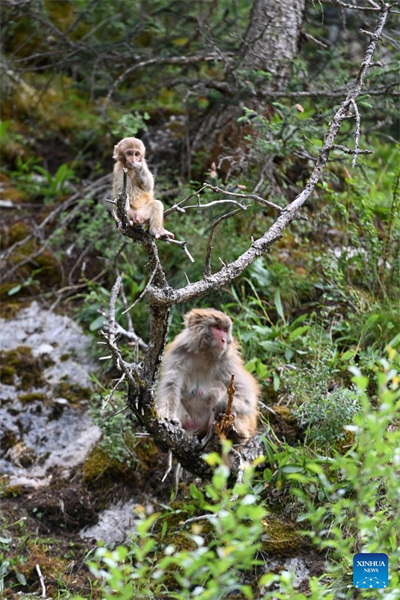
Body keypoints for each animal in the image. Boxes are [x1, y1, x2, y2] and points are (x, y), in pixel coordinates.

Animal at [156, 310, 260, 440]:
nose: (224, 340)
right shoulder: (177, 354)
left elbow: (245, 393)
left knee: (218, 388)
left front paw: (222, 404)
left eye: (224, 330)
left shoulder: (227, 362)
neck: (204, 354)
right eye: (217, 327)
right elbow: (170, 386)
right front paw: (169, 417)